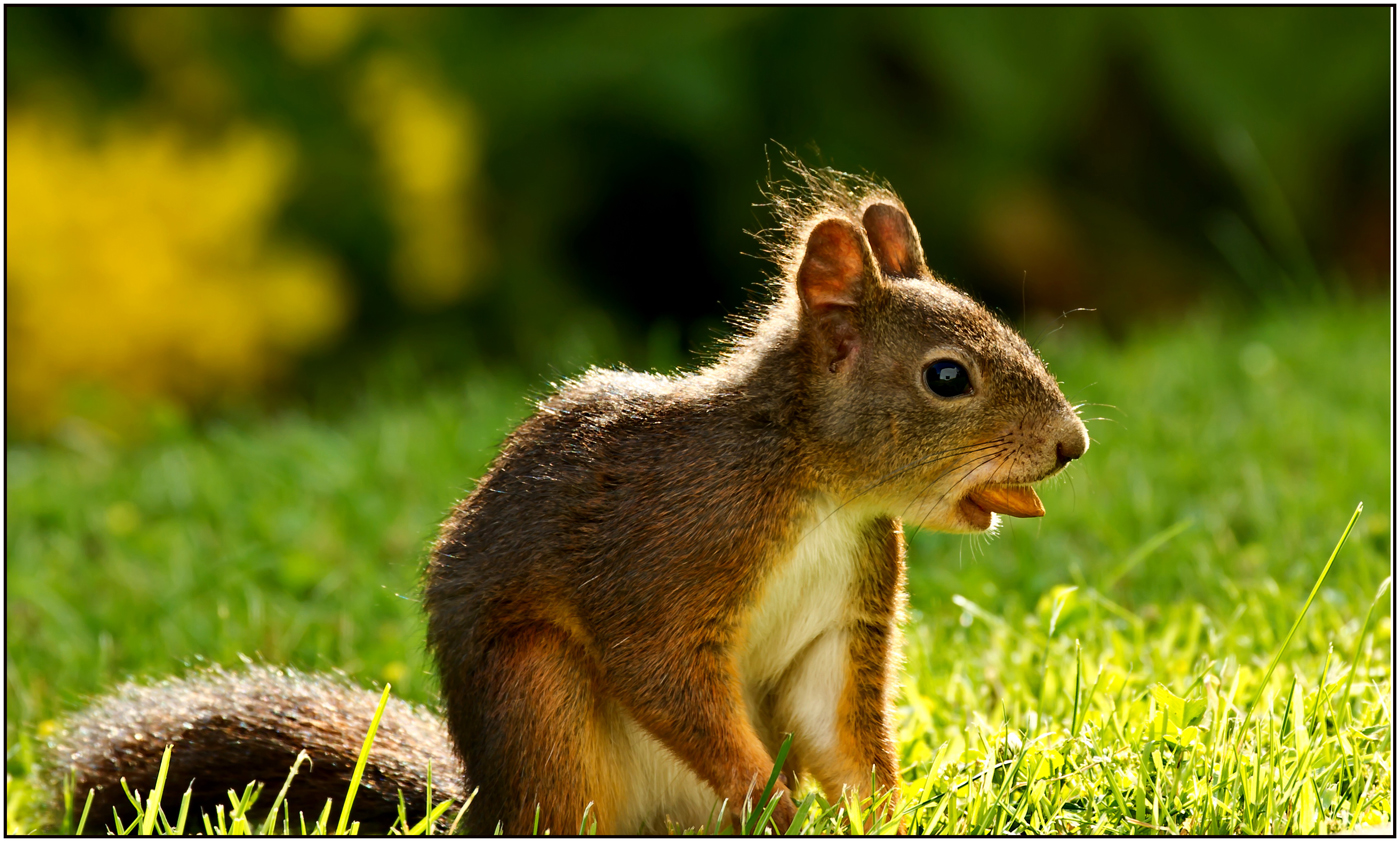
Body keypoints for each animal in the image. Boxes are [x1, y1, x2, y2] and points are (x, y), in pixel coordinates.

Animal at [51, 166, 1080, 834]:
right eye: (946, 377)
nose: (1072, 446)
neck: (818, 490)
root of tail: (482, 810)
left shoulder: (843, 615)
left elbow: (843, 732)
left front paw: (891, 816)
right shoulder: (670, 553)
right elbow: (661, 668)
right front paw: (766, 793)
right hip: (539, 701)